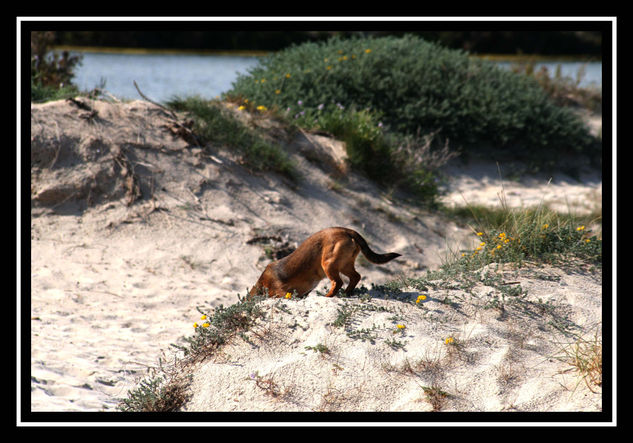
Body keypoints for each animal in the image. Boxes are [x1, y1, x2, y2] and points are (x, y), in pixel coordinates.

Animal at [248, 229, 400, 298]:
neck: (262, 283)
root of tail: (347, 230)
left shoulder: (282, 292)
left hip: (328, 264)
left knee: (338, 282)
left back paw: (328, 296)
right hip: (345, 265)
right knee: (356, 277)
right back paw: (346, 293)